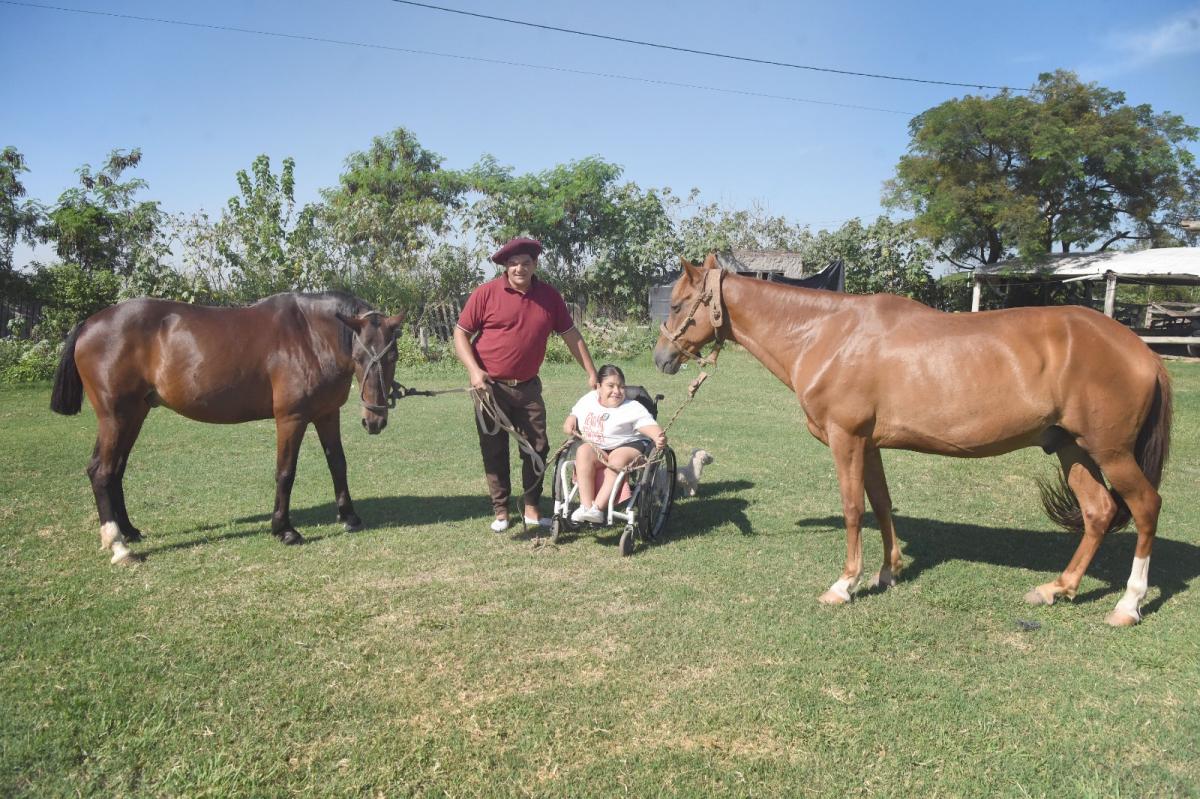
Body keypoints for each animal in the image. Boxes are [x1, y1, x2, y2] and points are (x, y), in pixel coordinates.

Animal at [50, 291, 408, 559]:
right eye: (359, 358)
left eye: (392, 357)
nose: (375, 419)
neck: (310, 335)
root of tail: (88, 324)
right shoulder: (291, 419)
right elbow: (286, 472)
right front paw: (284, 530)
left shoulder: (327, 414)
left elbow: (338, 464)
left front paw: (349, 516)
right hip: (116, 417)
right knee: (102, 472)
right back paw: (118, 544)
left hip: (134, 415)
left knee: (114, 471)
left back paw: (129, 531)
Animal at [657, 255, 1171, 623]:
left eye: (678, 304)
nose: (661, 356)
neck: (827, 335)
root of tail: (1141, 350)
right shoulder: (870, 444)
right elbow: (881, 503)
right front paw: (887, 572)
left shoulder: (847, 439)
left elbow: (853, 508)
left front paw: (844, 585)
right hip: (1072, 449)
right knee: (1098, 512)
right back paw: (1058, 588)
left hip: (1111, 452)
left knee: (1145, 508)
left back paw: (1128, 605)